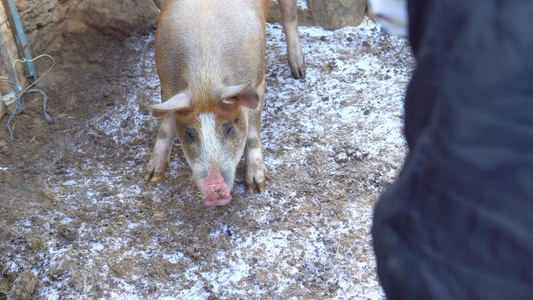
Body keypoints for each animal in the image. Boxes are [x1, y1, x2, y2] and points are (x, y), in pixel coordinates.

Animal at [143, 0, 306, 206]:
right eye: (189, 133)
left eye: (229, 129)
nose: (214, 192)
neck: (205, 79)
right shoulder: (167, 87)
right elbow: (165, 127)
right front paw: (152, 176)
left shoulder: (259, 83)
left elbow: (252, 134)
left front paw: (257, 187)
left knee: (290, 17)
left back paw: (299, 72)